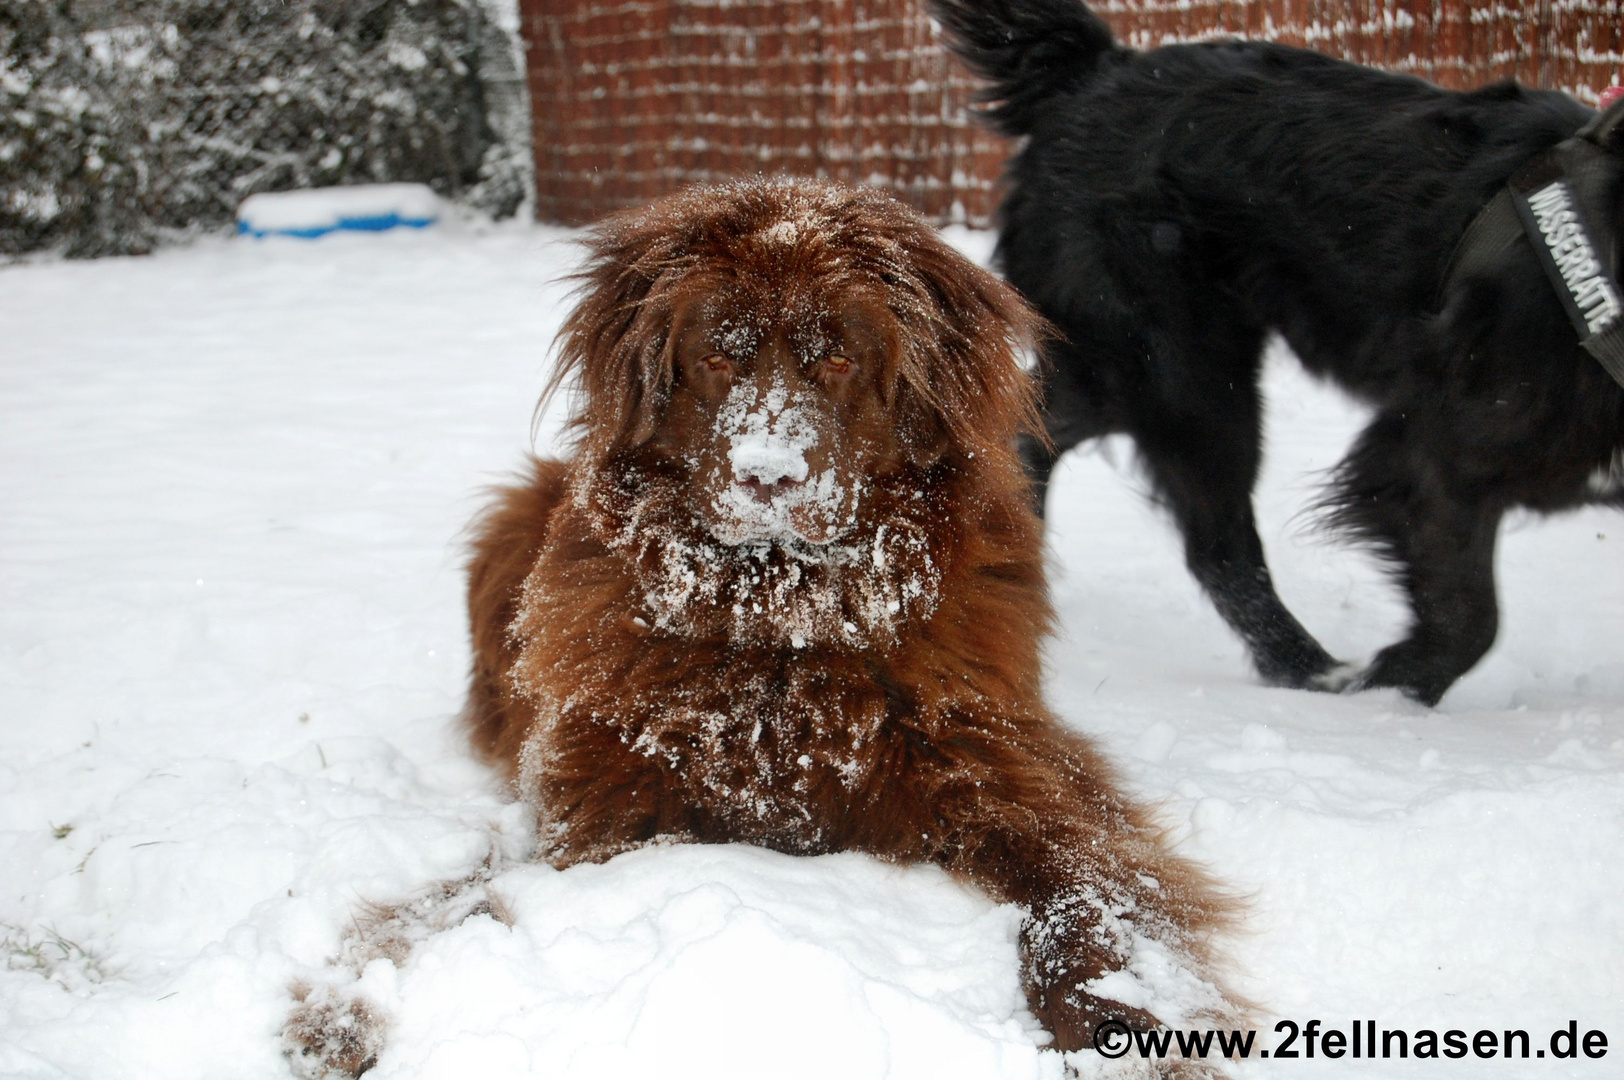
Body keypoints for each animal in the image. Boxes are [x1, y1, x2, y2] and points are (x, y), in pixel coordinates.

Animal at [470, 178, 1240, 1058]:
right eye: (718, 357)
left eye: (837, 358)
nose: (767, 475)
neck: (784, 635)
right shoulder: (605, 795)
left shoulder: (1001, 769)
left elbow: (1085, 902)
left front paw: (1132, 1024)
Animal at [928, 0, 1624, 704]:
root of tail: (1093, 70)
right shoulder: (1434, 455)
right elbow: (1470, 620)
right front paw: (1387, 695)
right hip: (1186, 382)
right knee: (1217, 545)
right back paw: (1307, 669)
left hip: (1122, 375)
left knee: (1028, 441)